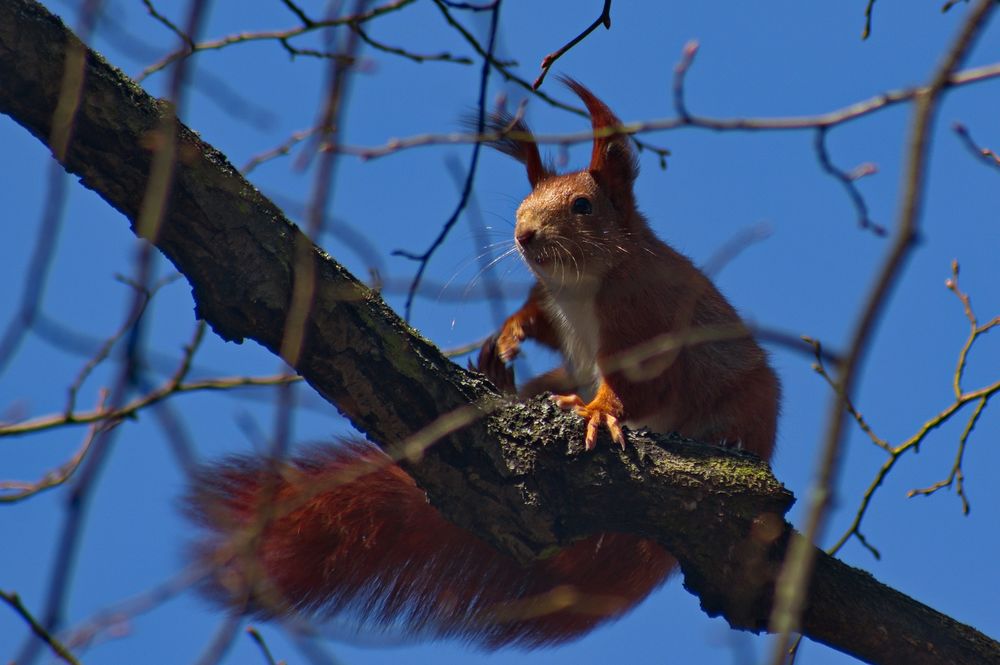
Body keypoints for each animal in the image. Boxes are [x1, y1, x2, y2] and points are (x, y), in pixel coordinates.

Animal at [185, 79, 780, 649]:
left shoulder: (647, 321)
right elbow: (538, 323)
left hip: (745, 402)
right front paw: (510, 337)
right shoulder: (556, 309)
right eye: (524, 200)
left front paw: (599, 410)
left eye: (583, 206)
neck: (583, 285)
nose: (523, 234)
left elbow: (638, 386)